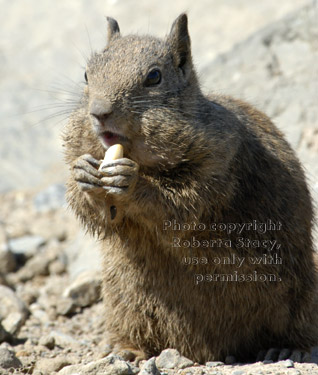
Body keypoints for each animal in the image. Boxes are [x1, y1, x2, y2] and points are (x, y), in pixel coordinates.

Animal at [62, 14, 318, 364]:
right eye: (87, 73)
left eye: (154, 77)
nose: (99, 112)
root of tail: (209, 350)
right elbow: (104, 215)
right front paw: (83, 174)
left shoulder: (218, 161)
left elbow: (181, 206)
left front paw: (132, 182)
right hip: (122, 299)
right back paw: (128, 350)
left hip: (303, 295)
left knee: (301, 329)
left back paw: (286, 347)